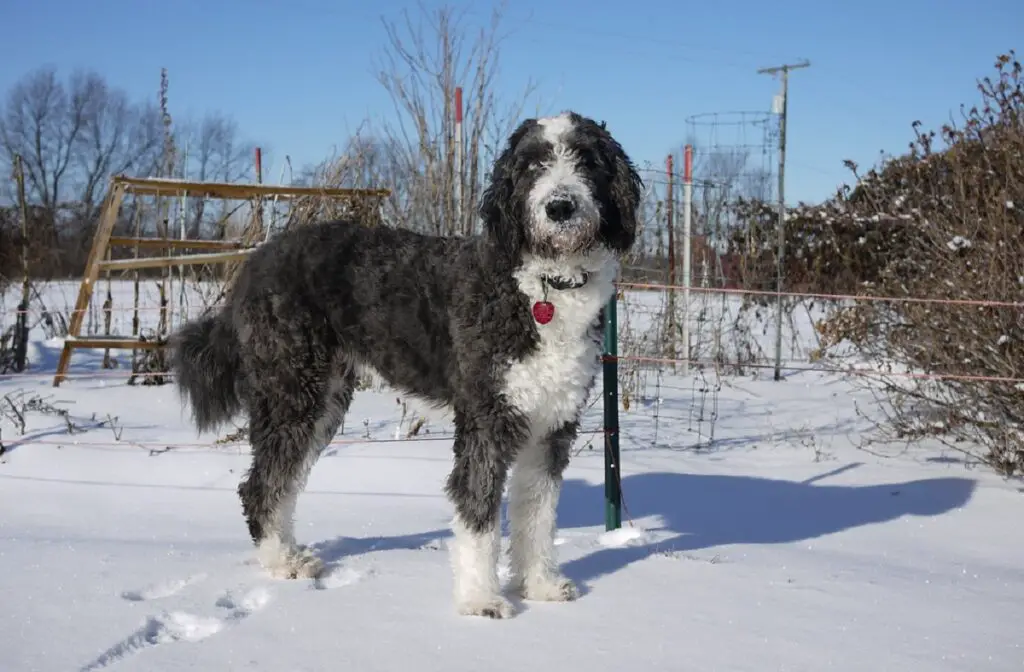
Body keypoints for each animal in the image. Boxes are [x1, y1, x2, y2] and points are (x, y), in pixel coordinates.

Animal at [172, 110, 643, 618]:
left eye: (586, 159)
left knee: (282, 481)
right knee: (261, 485)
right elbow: (477, 511)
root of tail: (256, 260)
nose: (560, 206)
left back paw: (289, 553)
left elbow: (537, 513)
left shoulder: (551, 423)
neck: (542, 288)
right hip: (293, 391)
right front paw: (480, 600)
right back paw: (281, 562)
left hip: (322, 400)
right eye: (534, 164)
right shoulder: (487, 419)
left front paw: (539, 586)